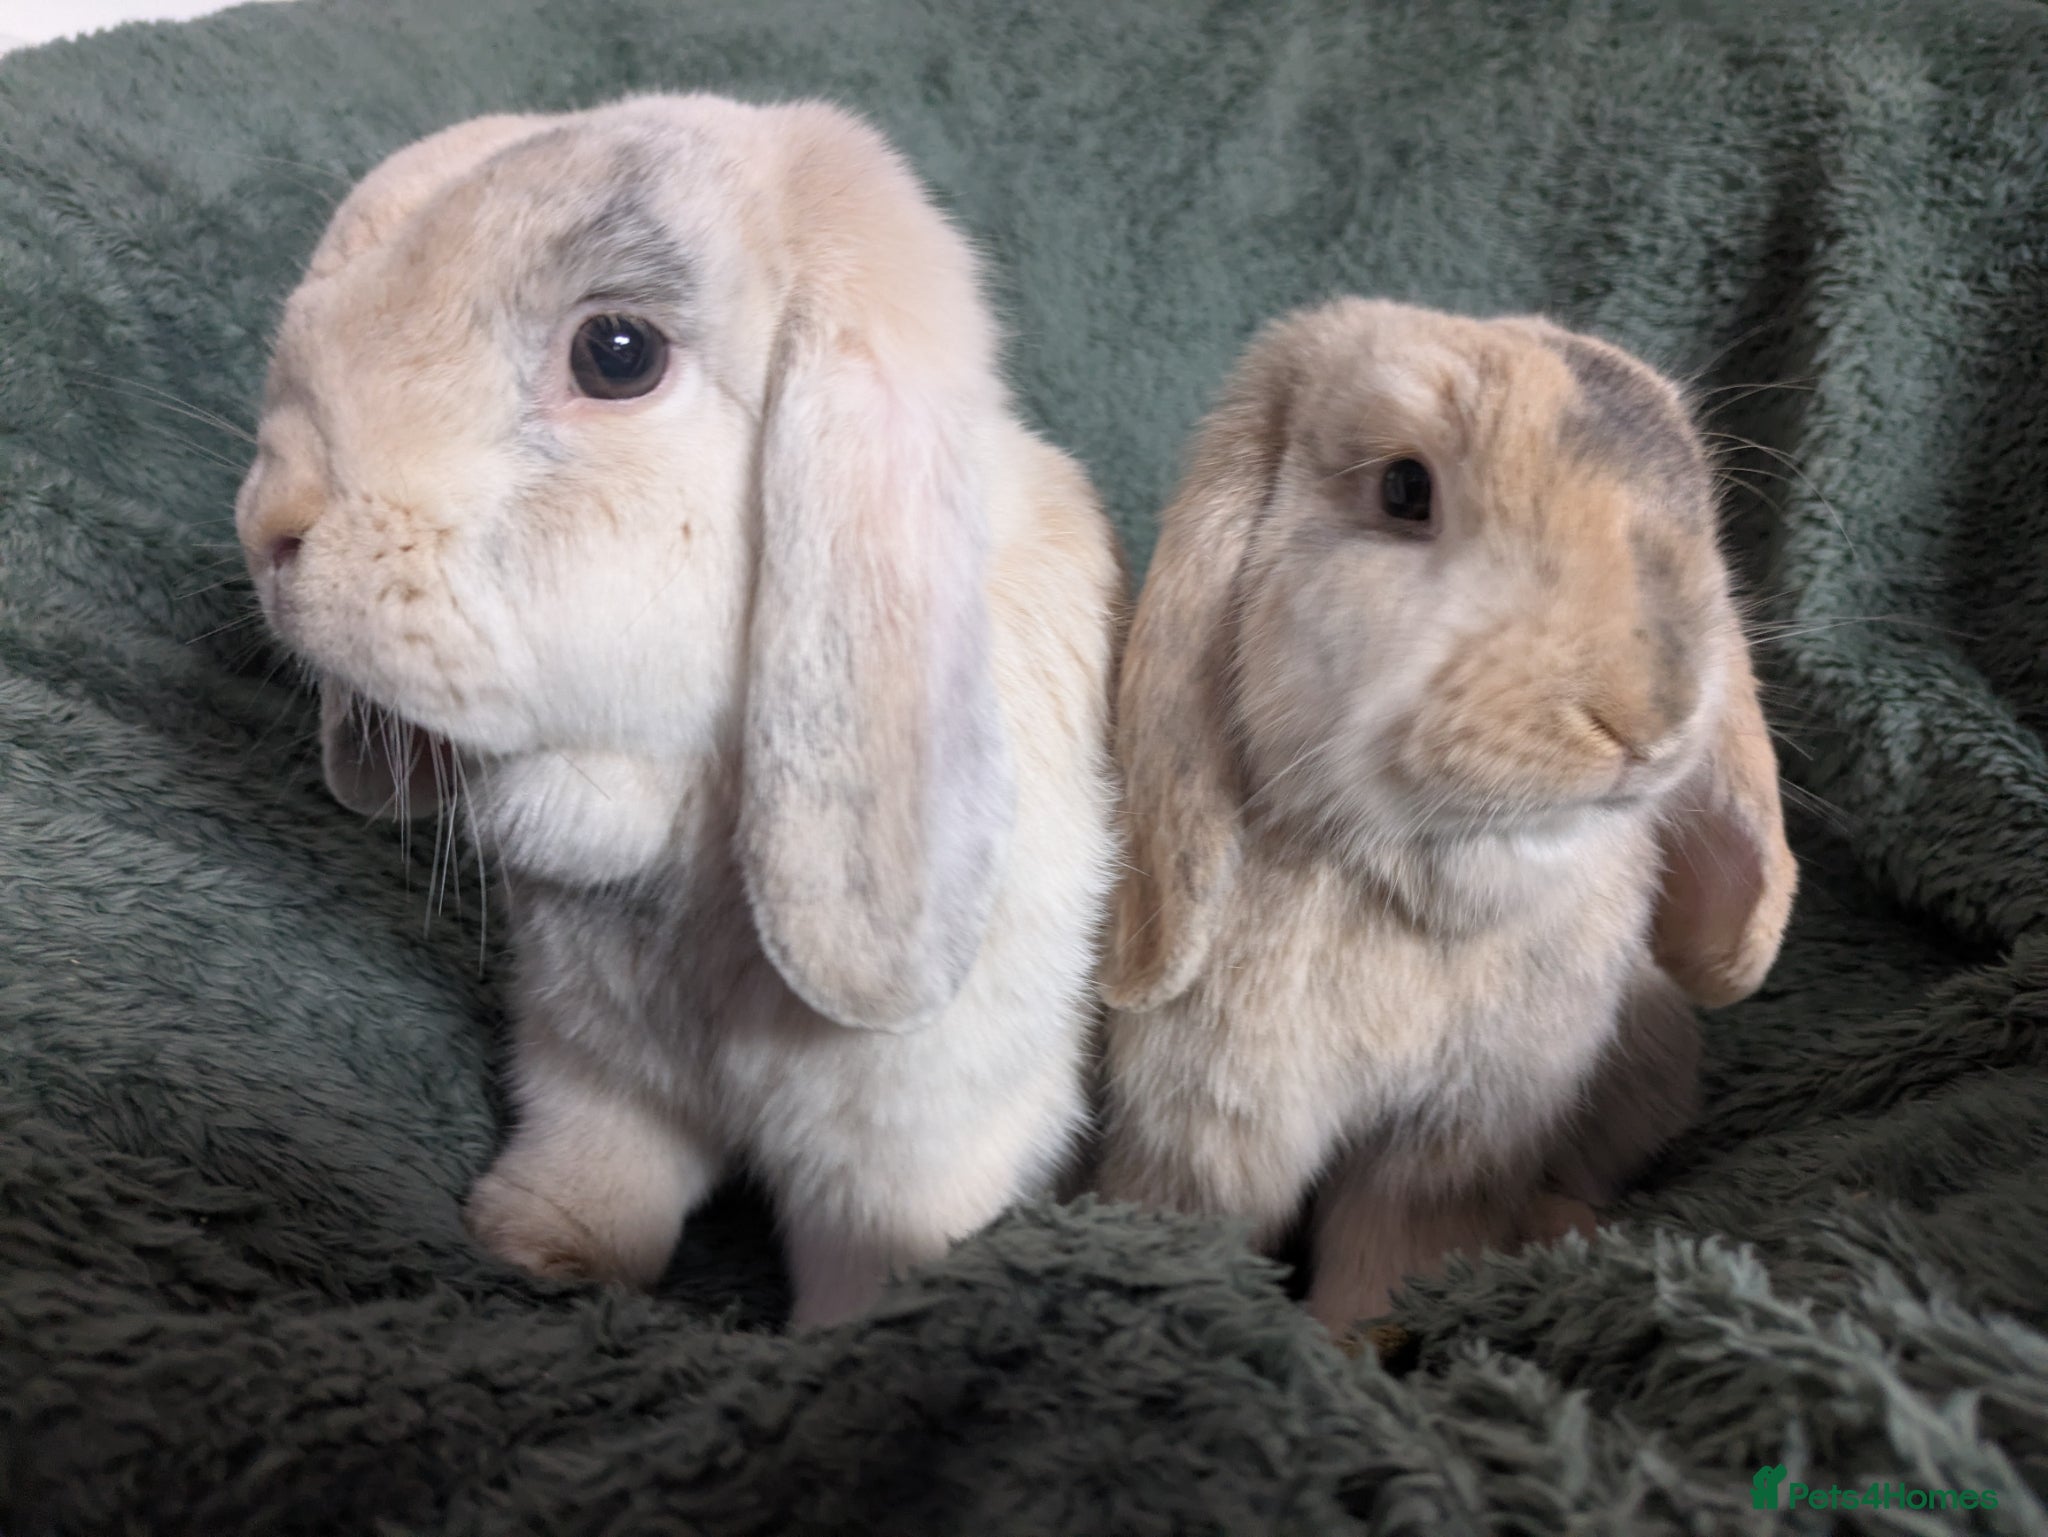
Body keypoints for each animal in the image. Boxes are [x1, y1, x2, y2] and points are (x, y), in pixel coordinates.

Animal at [233, 94, 1123, 1329]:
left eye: (617, 354)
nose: (271, 524)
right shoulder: (590, 1066)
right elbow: (600, 1166)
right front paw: (538, 1253)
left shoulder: (910, 1156)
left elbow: (870, 1269)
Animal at [1095, 299, 1797, 1333]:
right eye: (1403, 488)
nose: (1648, 716)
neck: (1427, 887)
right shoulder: (1214, 1123)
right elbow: (1209, 1227)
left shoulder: (1453, 1144)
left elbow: (1391, 1253)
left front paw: (1353, 1343)